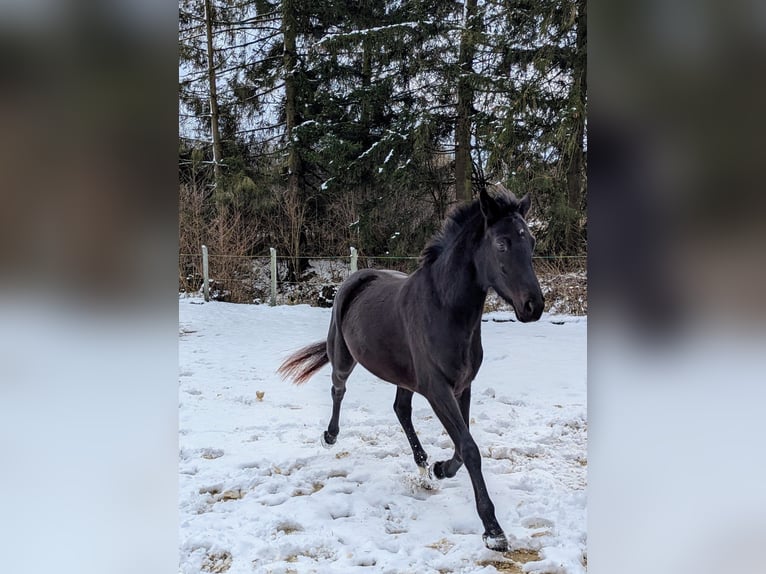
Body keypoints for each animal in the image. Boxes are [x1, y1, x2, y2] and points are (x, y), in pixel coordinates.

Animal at [278, 188, 544, 552]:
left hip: (403, 375)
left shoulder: (462, 386)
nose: (534, 306)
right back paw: (330, 436)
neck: (444, 309)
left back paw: (421, 462)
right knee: (339, 388)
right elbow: (470, 449)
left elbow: (462, 445)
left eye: (530, 240)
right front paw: (493, 531)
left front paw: (440, 469)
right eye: (502, 243)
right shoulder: (437, 389)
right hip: (344, 357)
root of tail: (355, 278)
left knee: (400, 409)